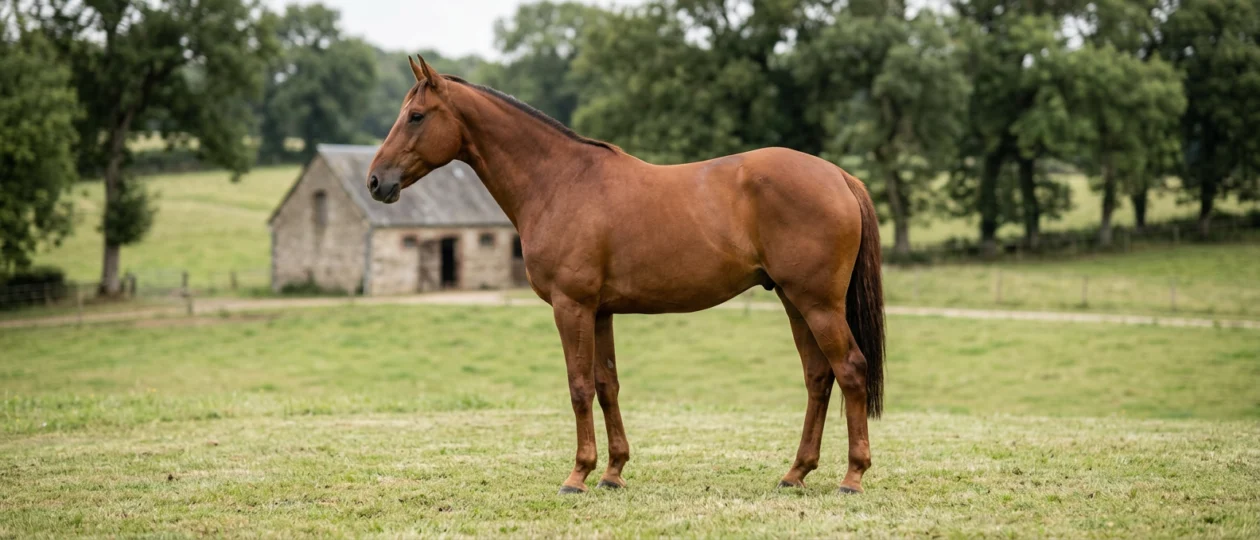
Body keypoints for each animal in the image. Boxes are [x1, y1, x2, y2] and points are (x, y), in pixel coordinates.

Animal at [367, 56, 886, 495]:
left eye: (416, 116)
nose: (376, 181)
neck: (559, 182)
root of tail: (840, 176)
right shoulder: (600, 312)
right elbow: (606, 385)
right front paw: (613, 472)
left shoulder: (571, 306)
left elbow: (578, 387)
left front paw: (577, 475)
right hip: (794, 301)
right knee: (818, 377)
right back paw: (795, 473)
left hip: (818, 303)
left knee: (850, 369)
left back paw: (852, 477)